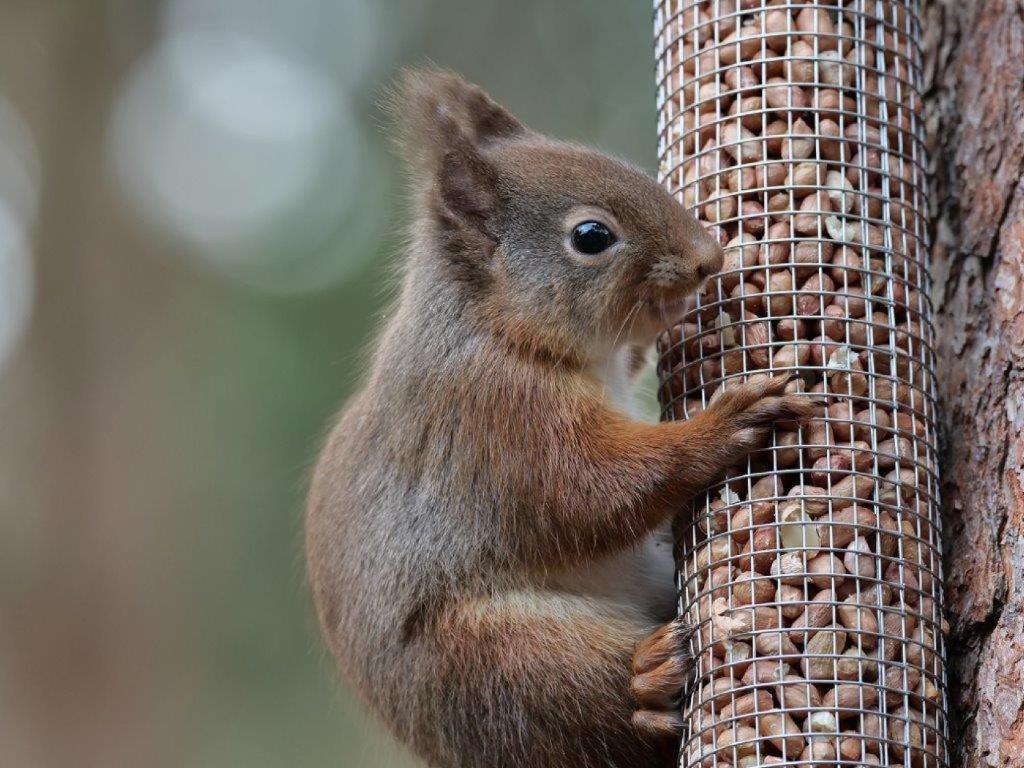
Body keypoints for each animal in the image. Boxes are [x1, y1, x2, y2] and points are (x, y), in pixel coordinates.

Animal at [303, 72, 815, 768]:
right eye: (591, 237)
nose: (709, 259)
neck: (499, 329)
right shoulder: (495, 413)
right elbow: (584, 489)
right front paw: (724, 423)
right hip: (501, 660)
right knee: (587, 712)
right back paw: (650, 681)